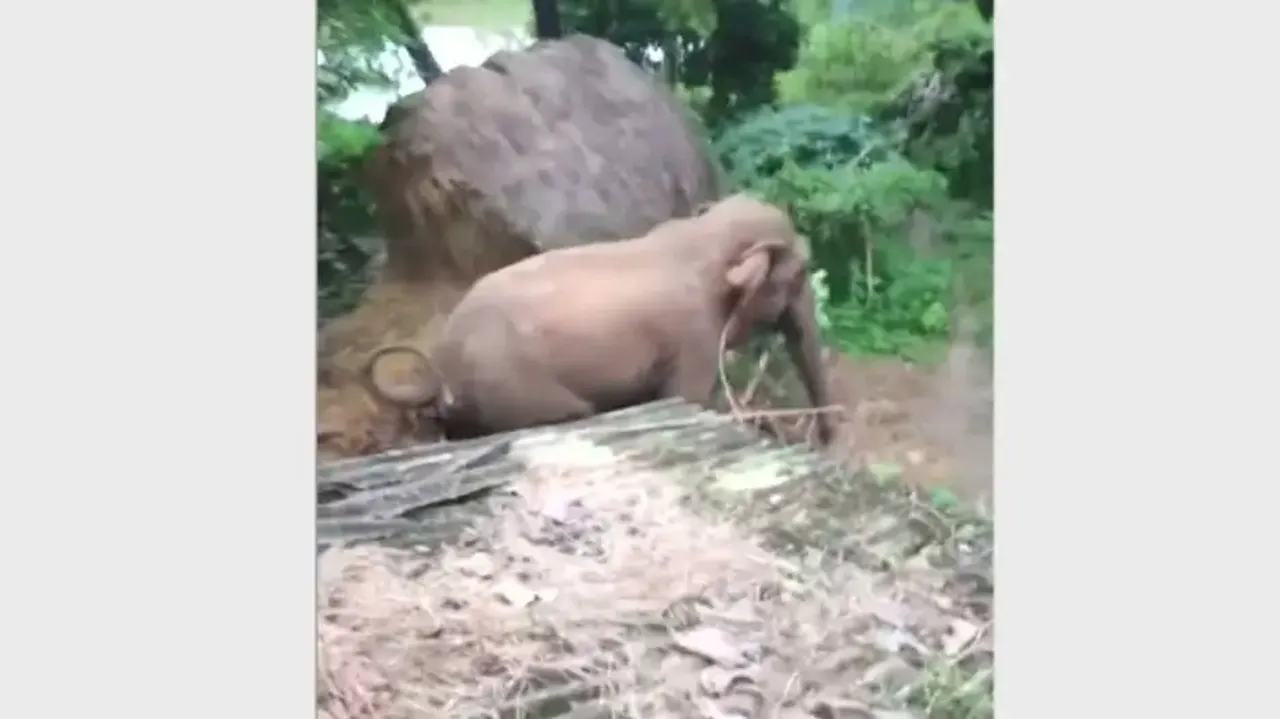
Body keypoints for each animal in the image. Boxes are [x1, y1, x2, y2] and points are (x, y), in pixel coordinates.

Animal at [361, 194, 835, 445]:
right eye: (801, 273)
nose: (823, 438)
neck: (704, 235)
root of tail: (442, 366)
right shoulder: (694, 334)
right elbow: (686, 397)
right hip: (512, 385)